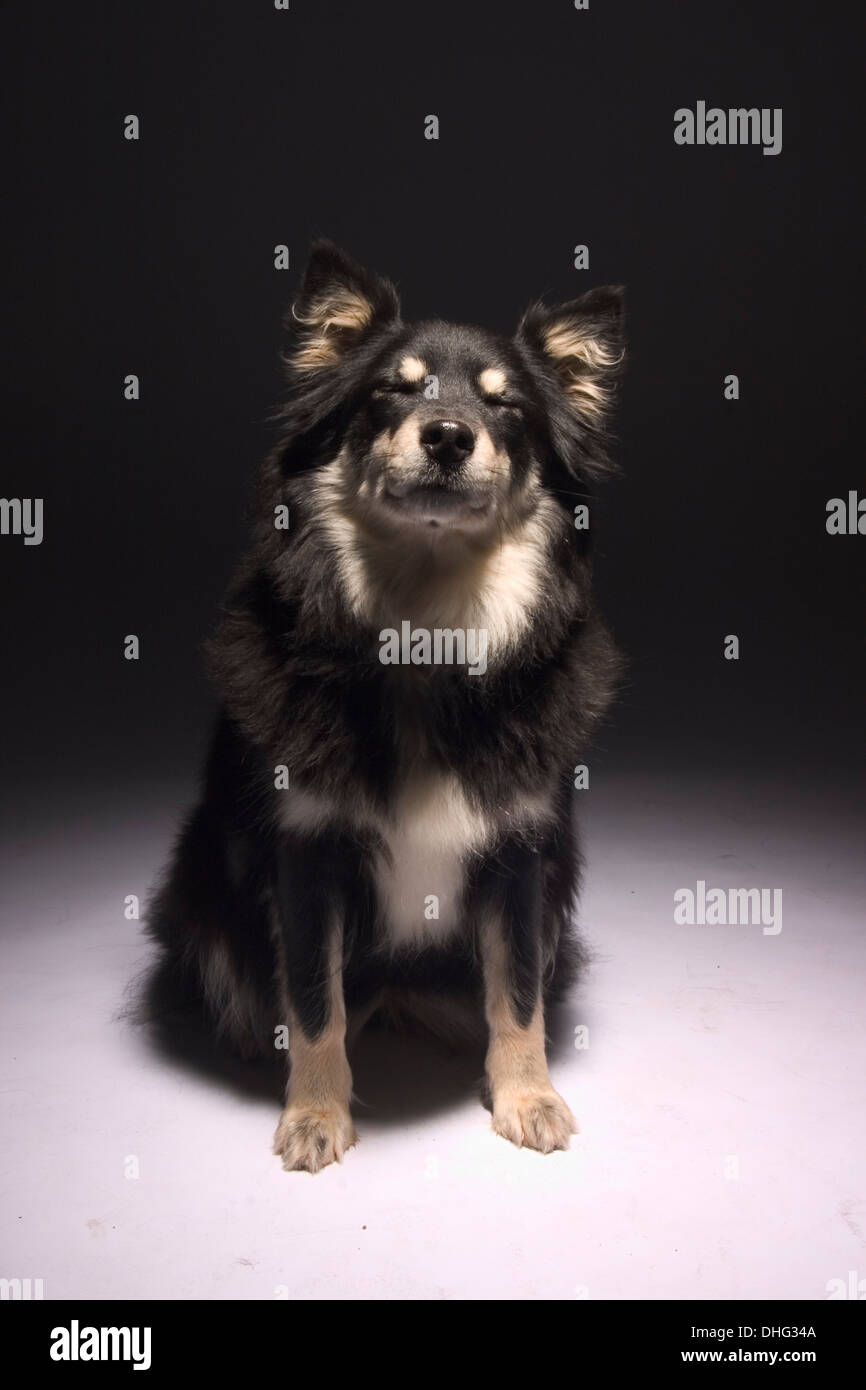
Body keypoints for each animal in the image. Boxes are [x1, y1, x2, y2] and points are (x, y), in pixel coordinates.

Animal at [145, 241, 625, 1173]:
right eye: (392, 393)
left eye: (504, 405)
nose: (447, 435)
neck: (423, 635)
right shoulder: (307, 852)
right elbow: (313, 1001)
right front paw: (314, 1113)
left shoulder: (520, 853)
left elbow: (518, 992)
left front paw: (527, 1096)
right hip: (196, 881)